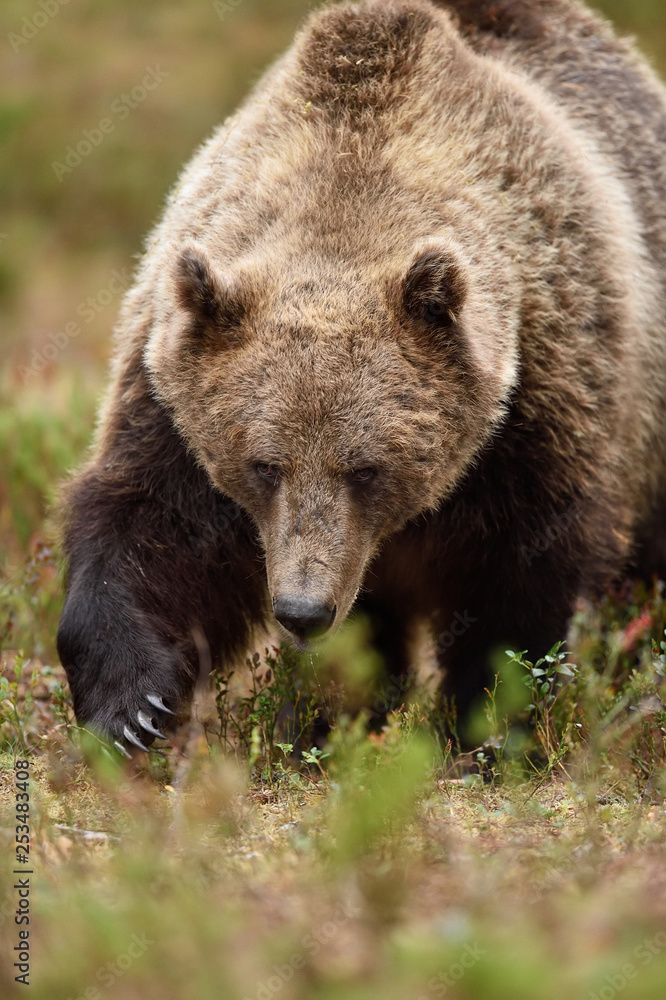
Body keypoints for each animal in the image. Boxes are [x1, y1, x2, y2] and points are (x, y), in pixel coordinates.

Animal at [55, 0, 664, 752]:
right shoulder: (170, 383)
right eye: (264, 465)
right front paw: (132, 706)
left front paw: (488, 725)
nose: (302, 609)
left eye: (367, 468)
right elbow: (146, 523)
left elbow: (522, 576)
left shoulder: (544, 393)